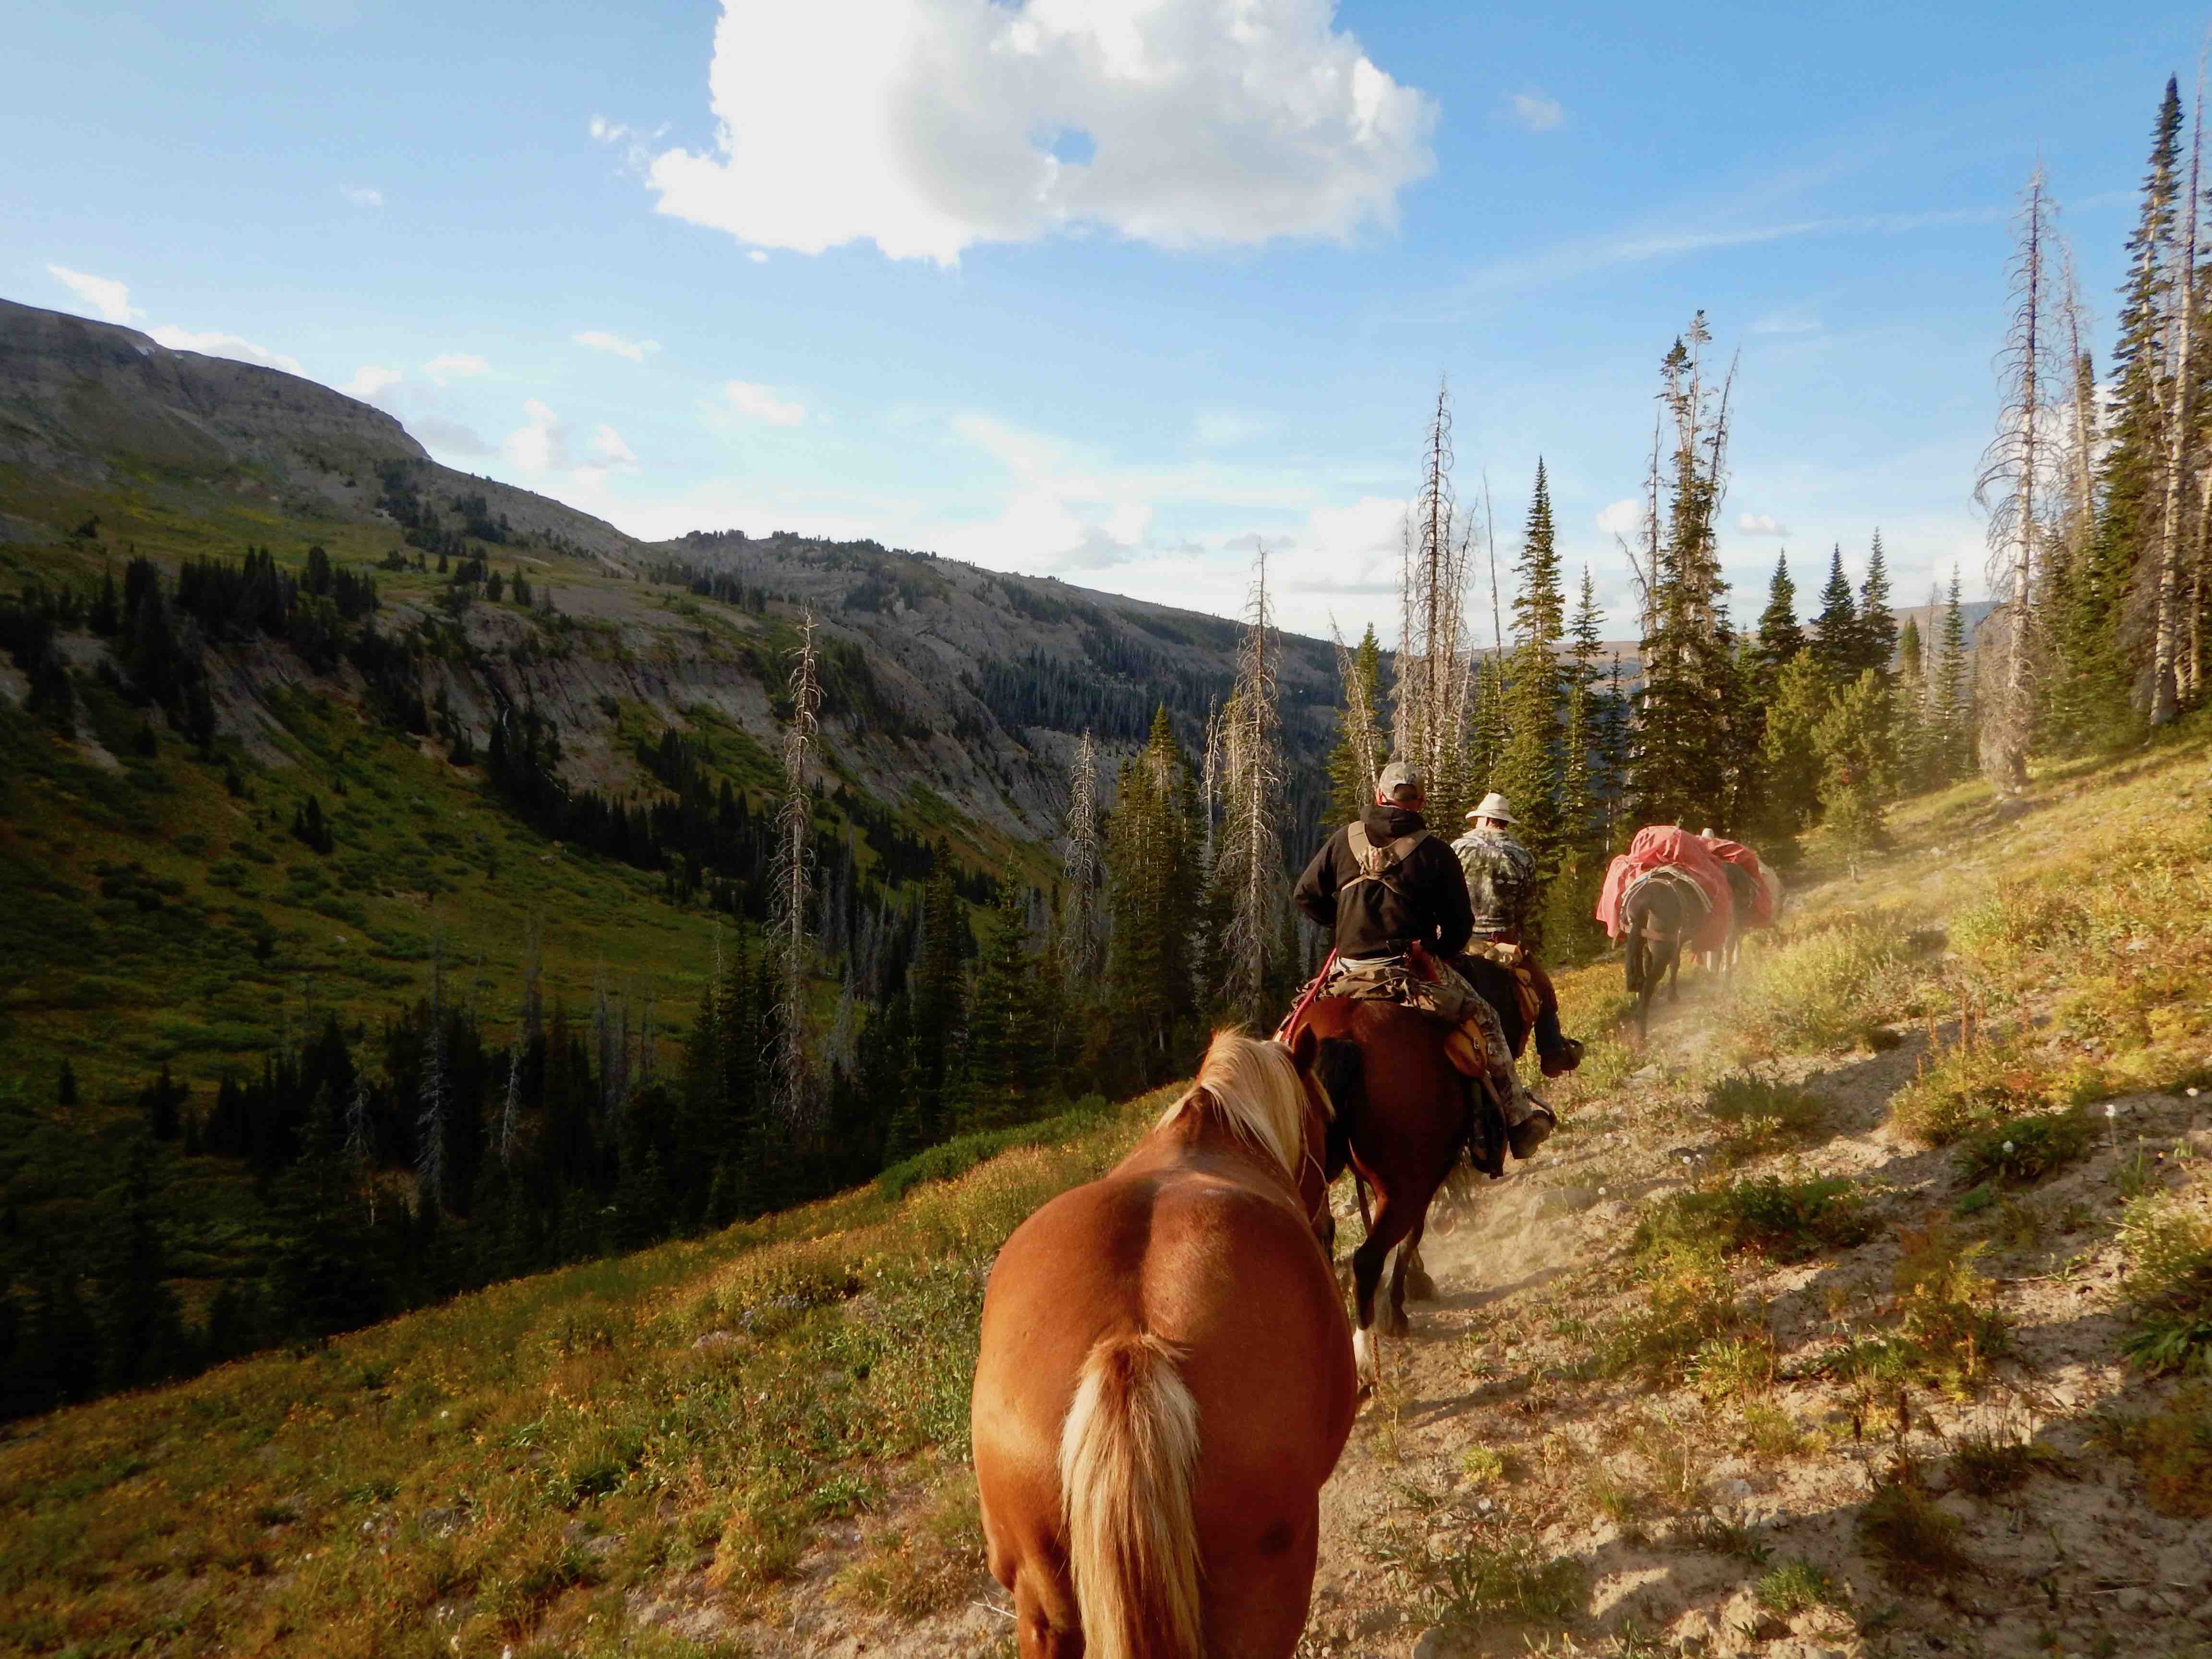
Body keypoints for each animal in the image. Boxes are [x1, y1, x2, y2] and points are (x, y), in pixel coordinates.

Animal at [977, 1035, 1354, 1654]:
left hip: (1043, 1613)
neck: (1216, 1131)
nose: (1327, 1232)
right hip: (1265, 1599)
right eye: (1325, 1121)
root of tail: (1132, 1347)